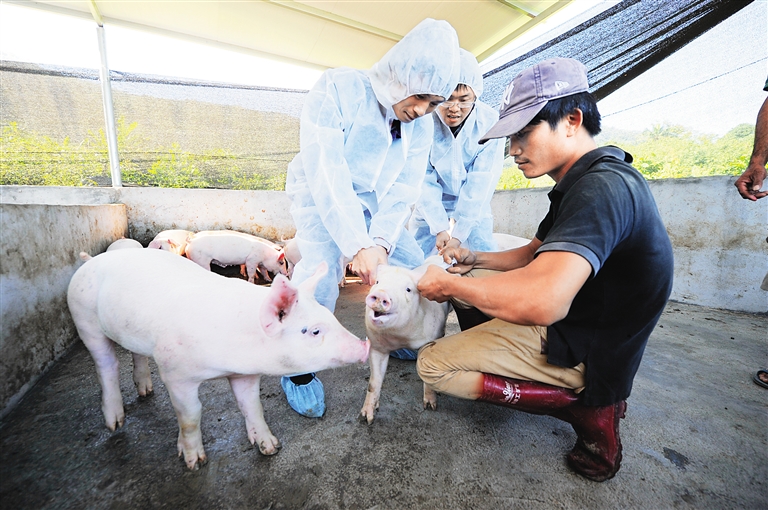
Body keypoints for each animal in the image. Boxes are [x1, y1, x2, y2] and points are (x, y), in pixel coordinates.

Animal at [67, 249, 370, 468]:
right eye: (314, 330)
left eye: (330, 316)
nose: (365, 345)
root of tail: (91, 261)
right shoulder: (175, 373)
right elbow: (190, 415)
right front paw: (194, 463)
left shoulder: (245, 374)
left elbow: (252, 405)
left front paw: (270, 448)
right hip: (84, 320)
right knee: (106, 366)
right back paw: (114, 423)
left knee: (135, 354)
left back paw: (145, 392)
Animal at [360, 256, 450, 424]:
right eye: (377, 282)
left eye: (408, 289)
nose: (381, 294)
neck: (399, 337)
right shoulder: (377, 346)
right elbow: (373, 383)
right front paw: (366, 418)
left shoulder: (429, 338)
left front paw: (430, 407)